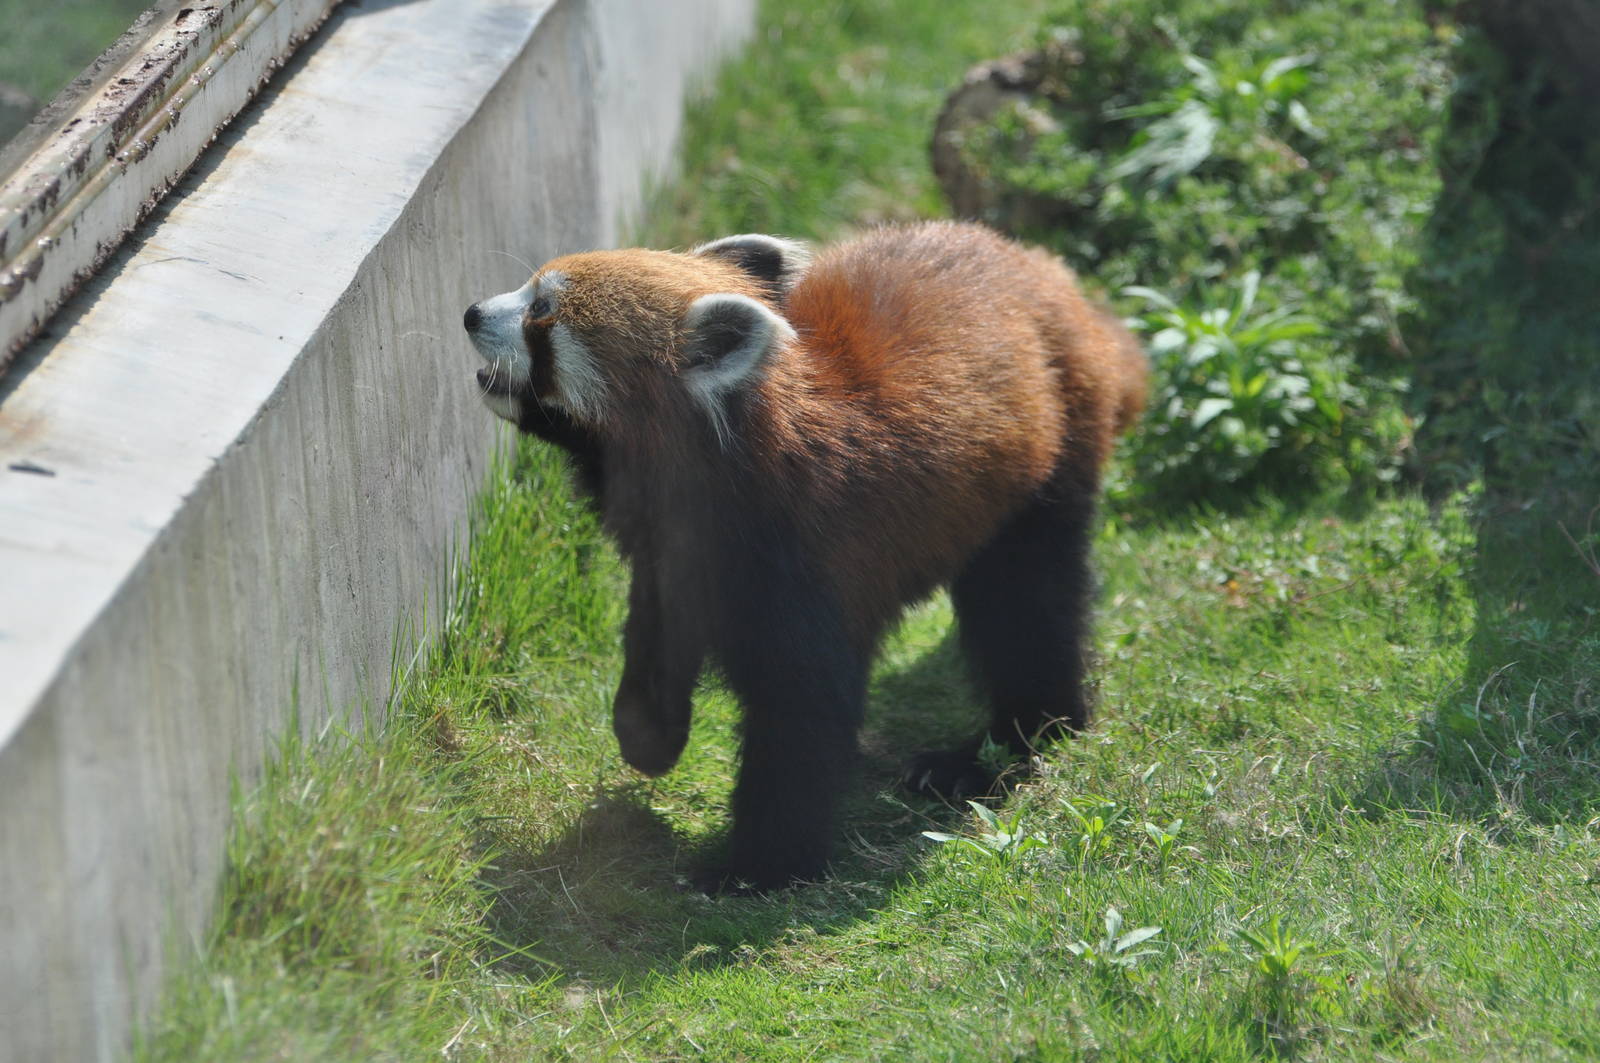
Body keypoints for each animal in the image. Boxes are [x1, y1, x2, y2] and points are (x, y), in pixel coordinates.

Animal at [463, 221, 1147, 891]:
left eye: (542, 310)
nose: (471, 313)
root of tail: (1051, 276)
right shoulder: (671, 557)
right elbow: (657, 633)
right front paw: (647, 735)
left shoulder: (811, 558)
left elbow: (803, 712)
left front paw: (757, 866)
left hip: (1046, 466)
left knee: (1028, 609)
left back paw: (1006, 744)